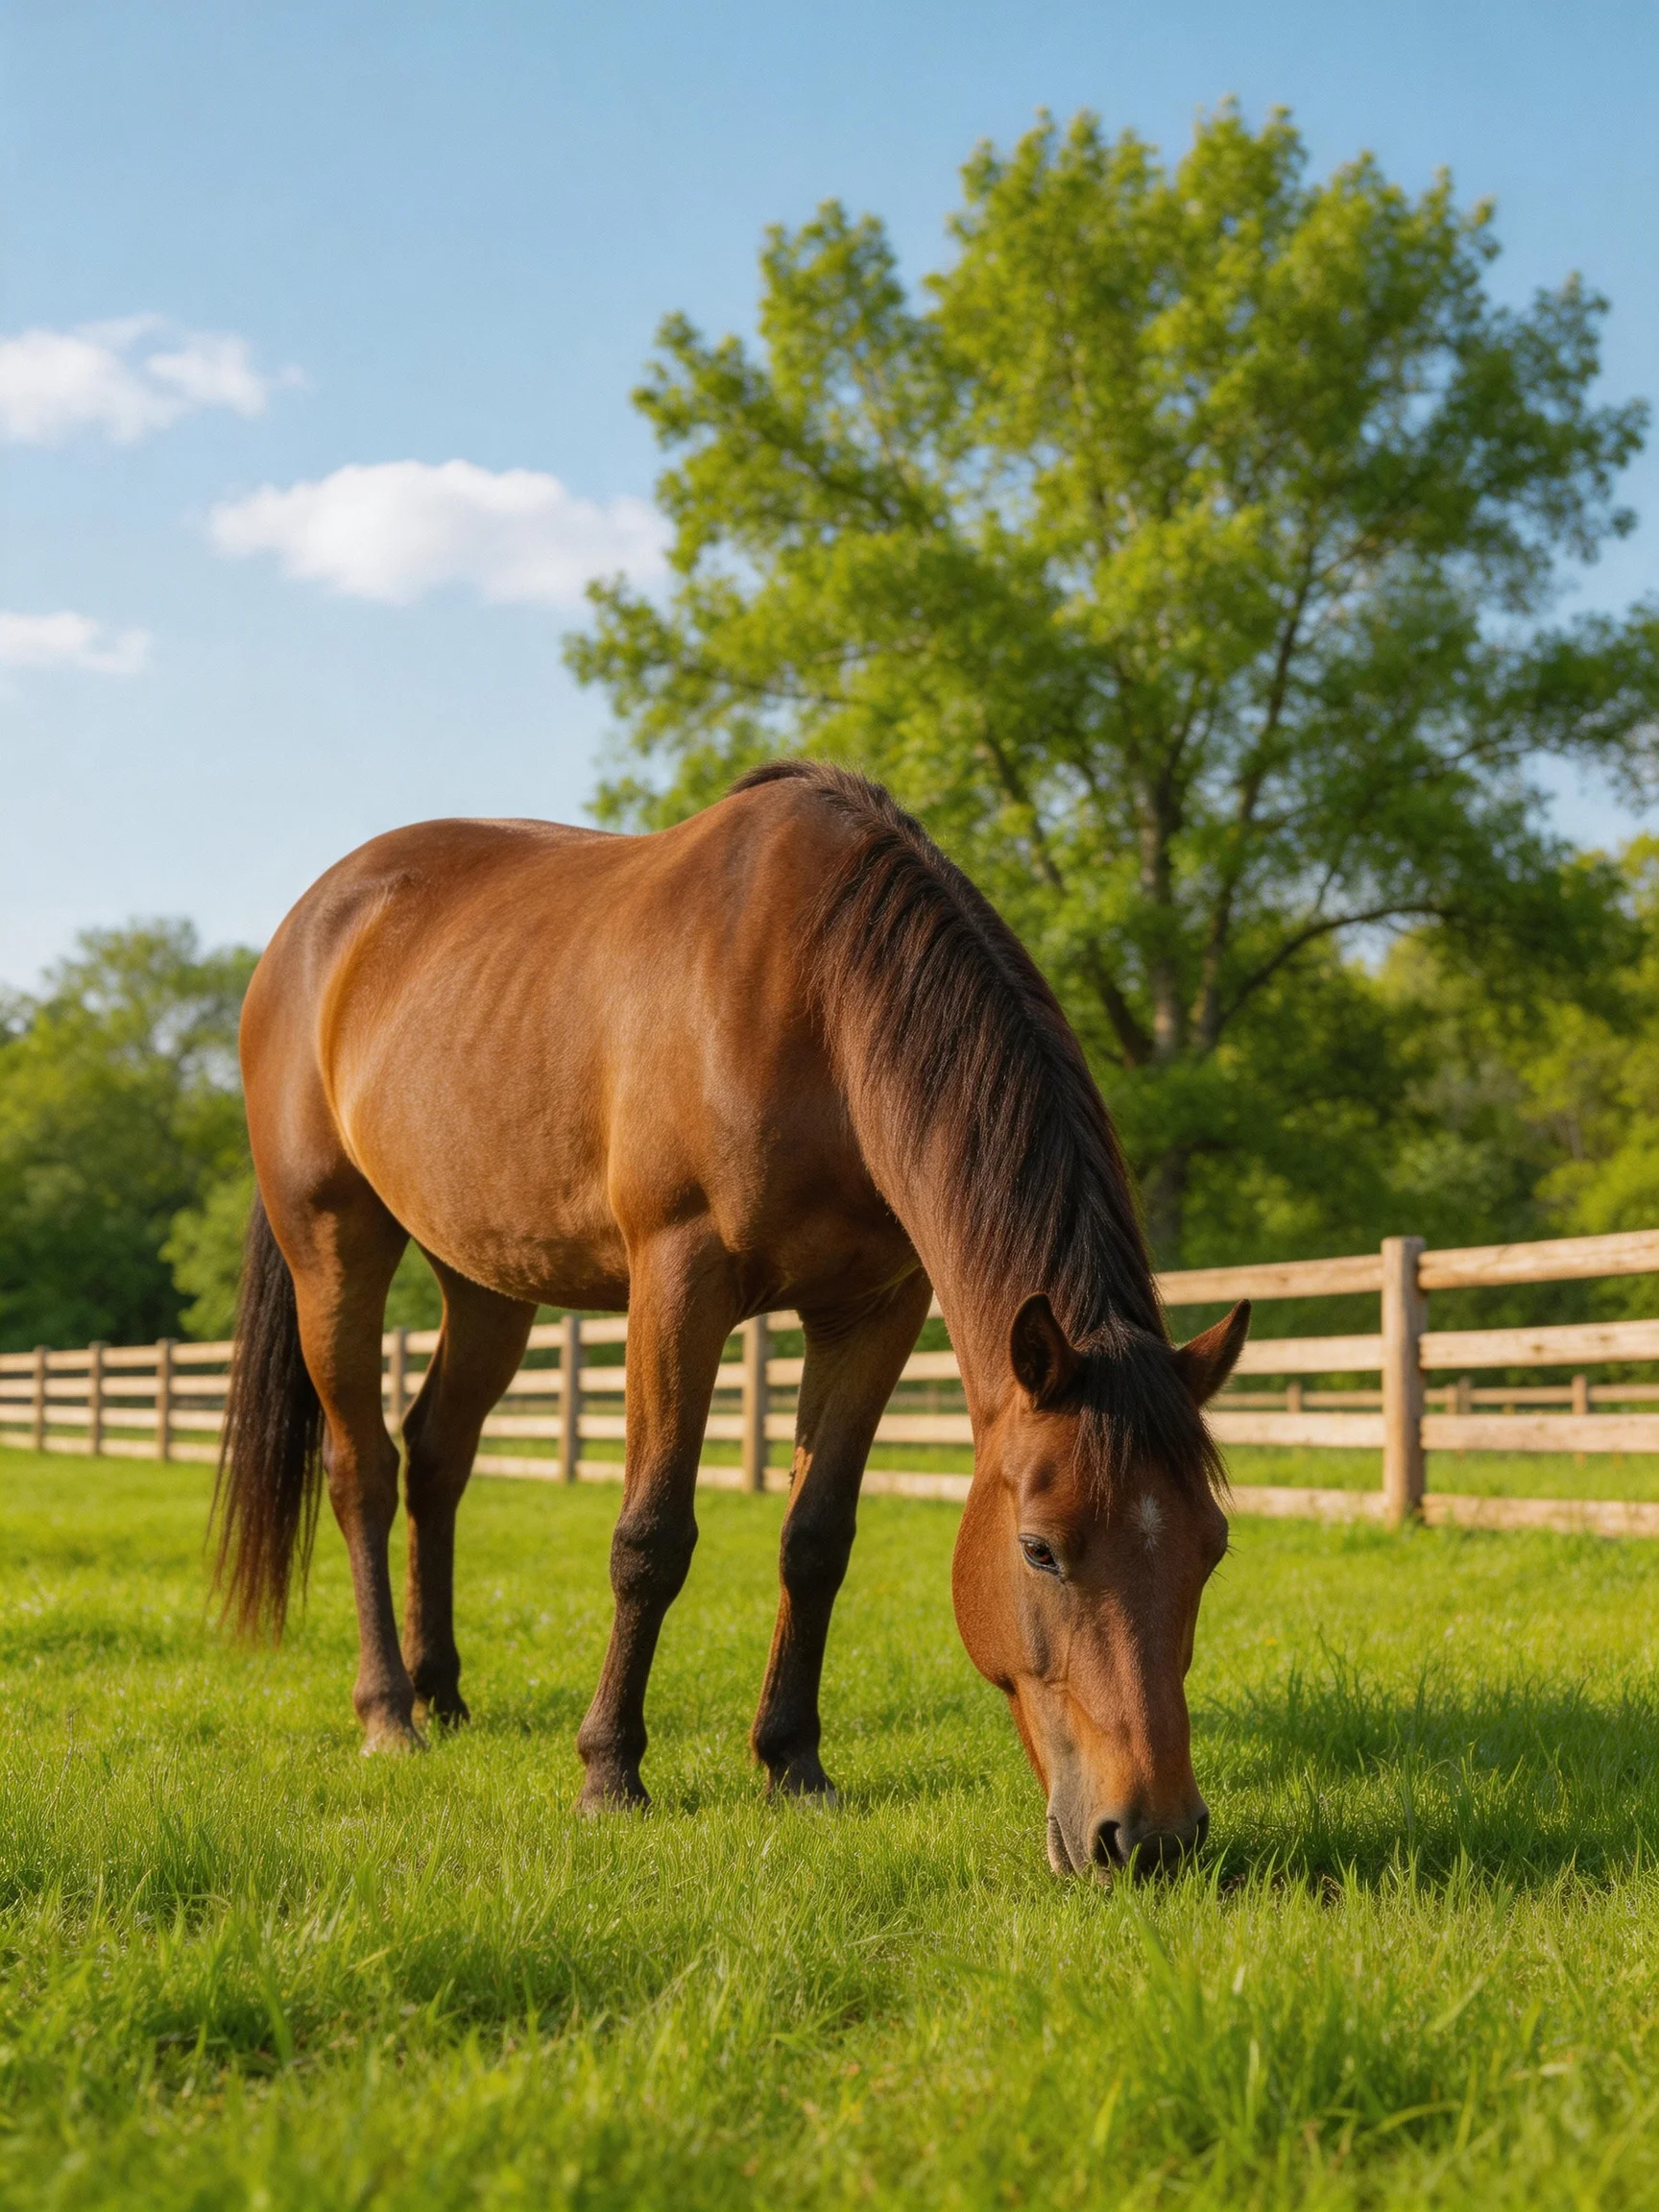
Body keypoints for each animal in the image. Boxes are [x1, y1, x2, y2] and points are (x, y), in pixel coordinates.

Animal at [215, 761, 1247, 1876]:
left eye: (1213, 1548)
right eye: (1040, 1550)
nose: (1151, 1838)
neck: (819, 997)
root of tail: (313, 922)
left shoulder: (874, 1311)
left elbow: (817, 1538)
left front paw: (792, 1763)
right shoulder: (680, 1280)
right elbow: (651, 1537)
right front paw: (609, 1773)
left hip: (485, 1276)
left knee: (437, 1454)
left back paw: (443, 1692)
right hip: (333, 1246)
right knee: (363, 1467)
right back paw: (389, 1712)